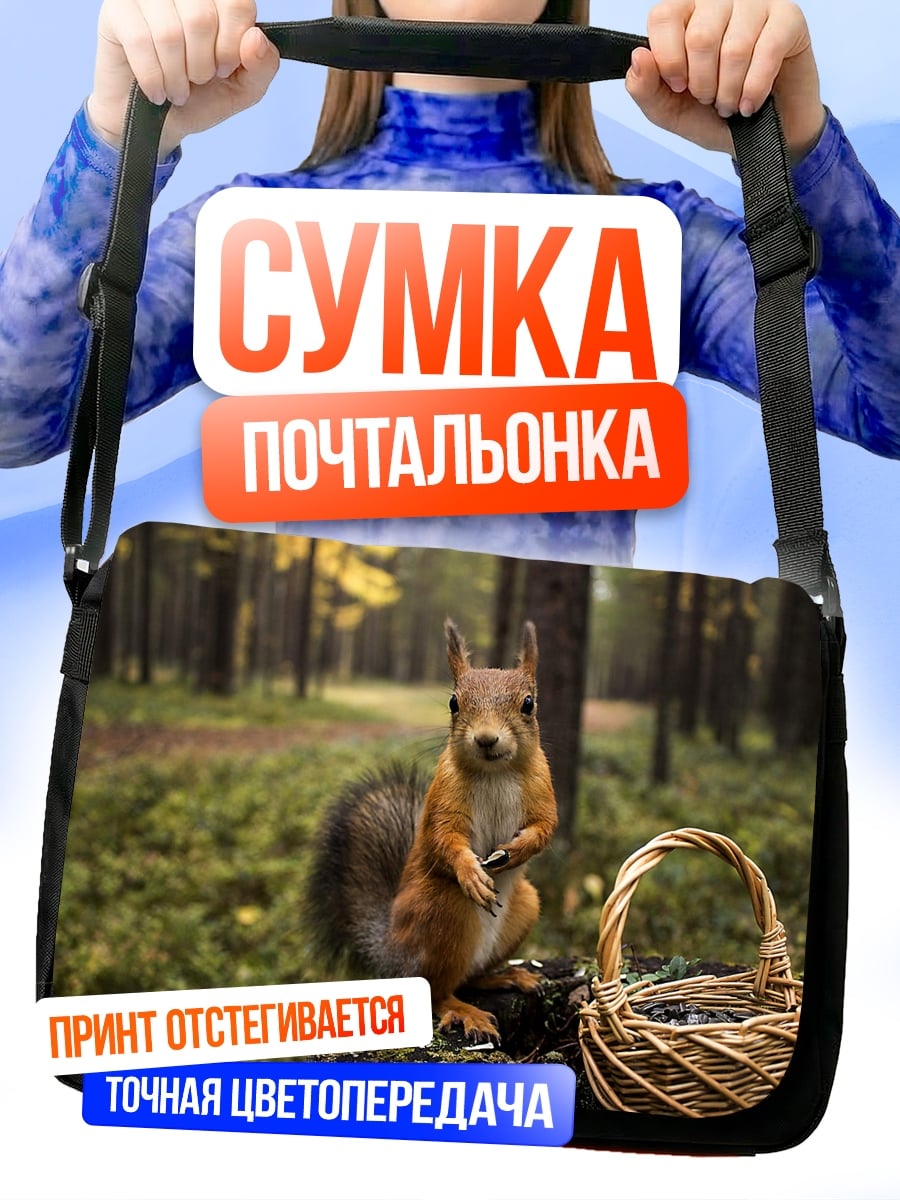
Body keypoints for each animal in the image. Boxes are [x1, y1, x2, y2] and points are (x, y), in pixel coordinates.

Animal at [304, 618, 558, 1042]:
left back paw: (506, 977)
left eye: (529, 703)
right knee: (438, 990)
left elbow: (545, 828)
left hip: (525, 906)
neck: (495, 772)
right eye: (454, 702)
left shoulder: (543, 789)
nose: (486, 738)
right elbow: (444, 838)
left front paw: (516, 851)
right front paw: (471, 873)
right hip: (442, 910)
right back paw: (464, 1011)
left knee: (470, 977)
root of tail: (391, 952)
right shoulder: (444, 796)